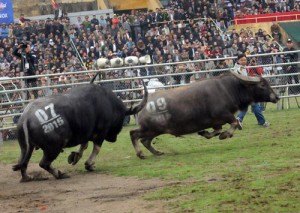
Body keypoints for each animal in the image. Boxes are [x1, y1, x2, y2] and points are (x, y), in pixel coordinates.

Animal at [13, 81, 148, 181]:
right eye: (121, 118)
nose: (114, 139)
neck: (109, 104)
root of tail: (26, 116)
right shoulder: (101, 133)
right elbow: (96, 148)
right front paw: (89, 164)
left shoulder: (86, 132)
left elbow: (84, 145)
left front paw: (75, 157)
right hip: (53, 148)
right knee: (43, 163)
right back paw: (60, 174)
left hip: (26, 148)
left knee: (23, 163)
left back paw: (27, 178)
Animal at [130, 72, 280, 159]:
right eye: (262, 84)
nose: (277, 97)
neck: (229, 89)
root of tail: (141, 104)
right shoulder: (224, 114)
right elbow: (234, 123)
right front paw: (225, 135)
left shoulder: (216, 121)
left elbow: (217, 130)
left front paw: (205, 133)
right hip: (149, 128)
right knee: (134, 134)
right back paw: (140, 154)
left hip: (154, 130)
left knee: (145, 141)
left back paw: (158, 152)